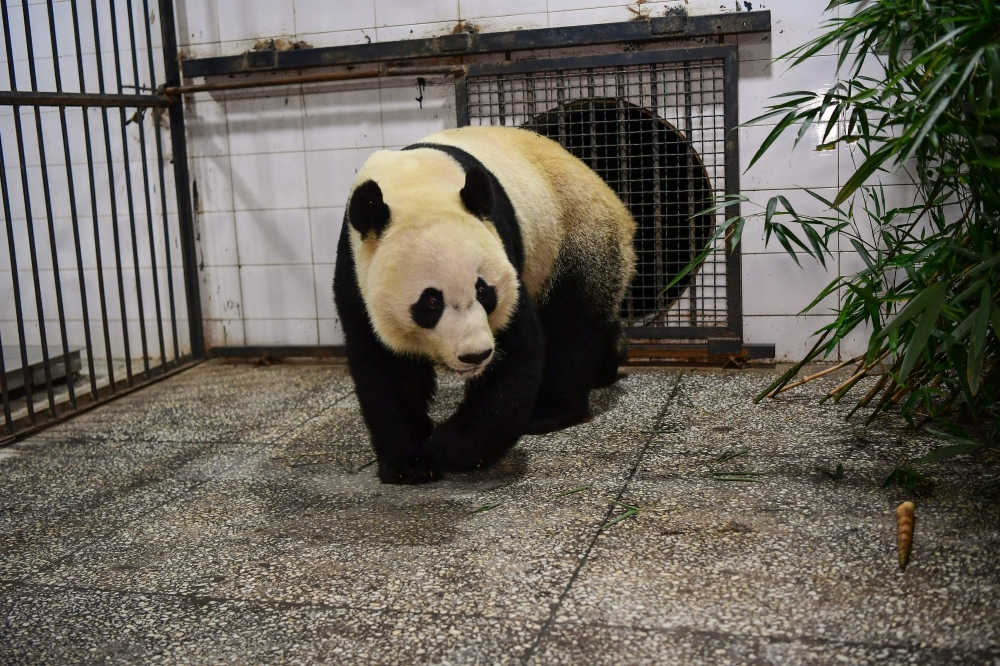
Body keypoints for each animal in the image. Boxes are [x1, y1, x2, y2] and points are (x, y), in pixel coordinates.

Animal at [333, 125, 636, 484]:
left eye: (483, 291)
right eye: (430, 302)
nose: (474, 355)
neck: (415, 186)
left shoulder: (501, 241)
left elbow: (516, 352)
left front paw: (449, 446)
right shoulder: (356, 269)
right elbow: (386, 367)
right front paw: (410, 463)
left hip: (574, 234)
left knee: (572, 326)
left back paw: (551, 411)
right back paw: (609, 362)